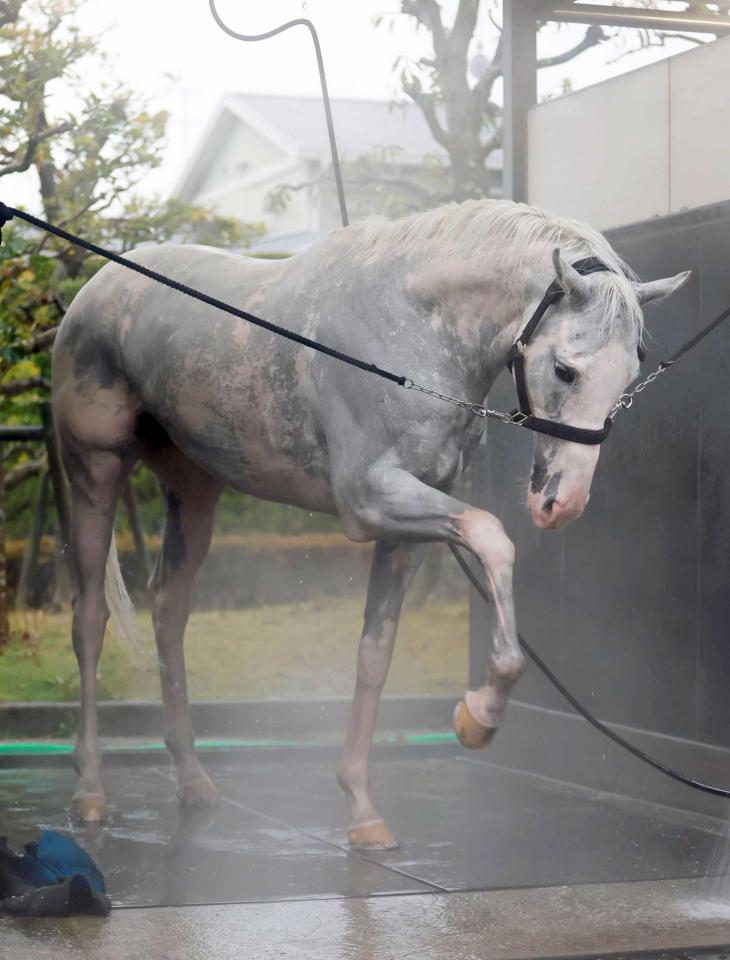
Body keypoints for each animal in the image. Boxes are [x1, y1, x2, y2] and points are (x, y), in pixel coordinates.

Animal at [52, 201, 688, 848]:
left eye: (628, 375)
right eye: (564, 369)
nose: (564, 502)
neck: (411, 328)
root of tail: (96, 287)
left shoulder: (405, 526)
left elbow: (375, 653)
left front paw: (361, 807)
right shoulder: (370, 498)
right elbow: (492, 537)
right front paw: (480, 714)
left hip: (193, 487)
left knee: (169, 607)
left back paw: (191, 776)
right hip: (94, 470)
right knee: (90, 620)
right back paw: (89, 790)